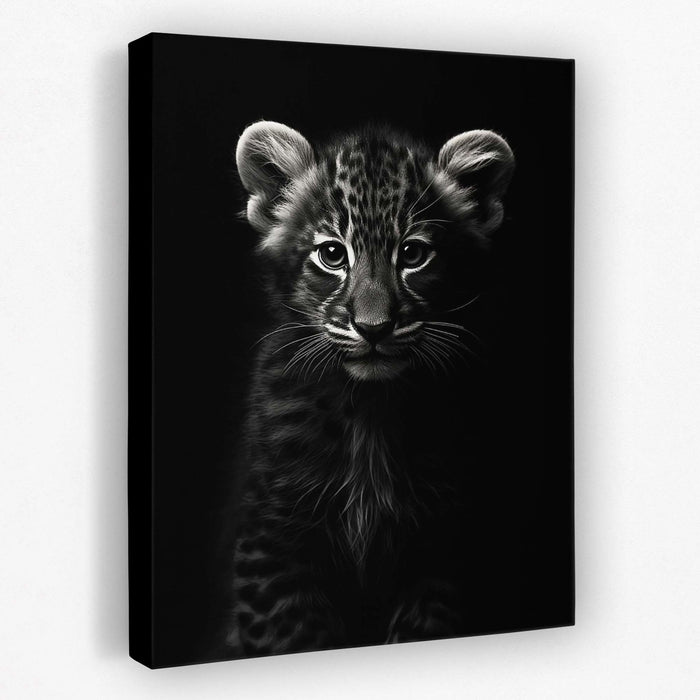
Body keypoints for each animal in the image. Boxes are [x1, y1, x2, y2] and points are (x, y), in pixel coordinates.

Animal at [219, 120, 515, 657]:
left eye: (413, 254)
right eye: (332, 254)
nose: (373, 328)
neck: (370, 409)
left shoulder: (441, 545)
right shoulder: (273, 538)